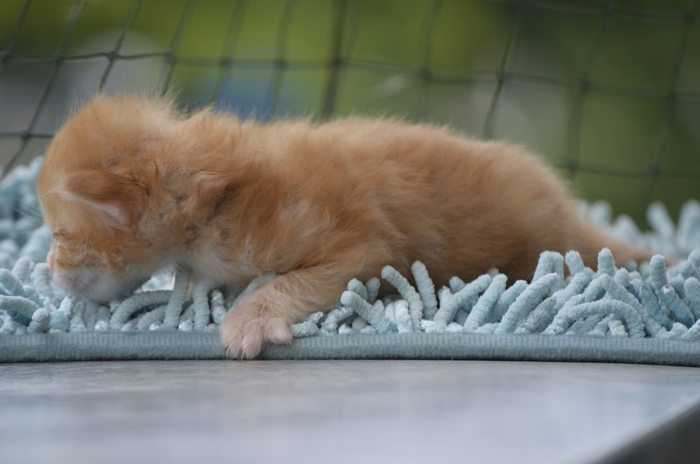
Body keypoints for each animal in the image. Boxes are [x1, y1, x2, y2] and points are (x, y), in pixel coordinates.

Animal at [37, 94, 654, 358]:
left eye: (61, 235)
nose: (49, 271)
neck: (217, 198)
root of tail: (565, 208)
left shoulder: (356, 247)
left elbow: (292, 282)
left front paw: (248, 320)